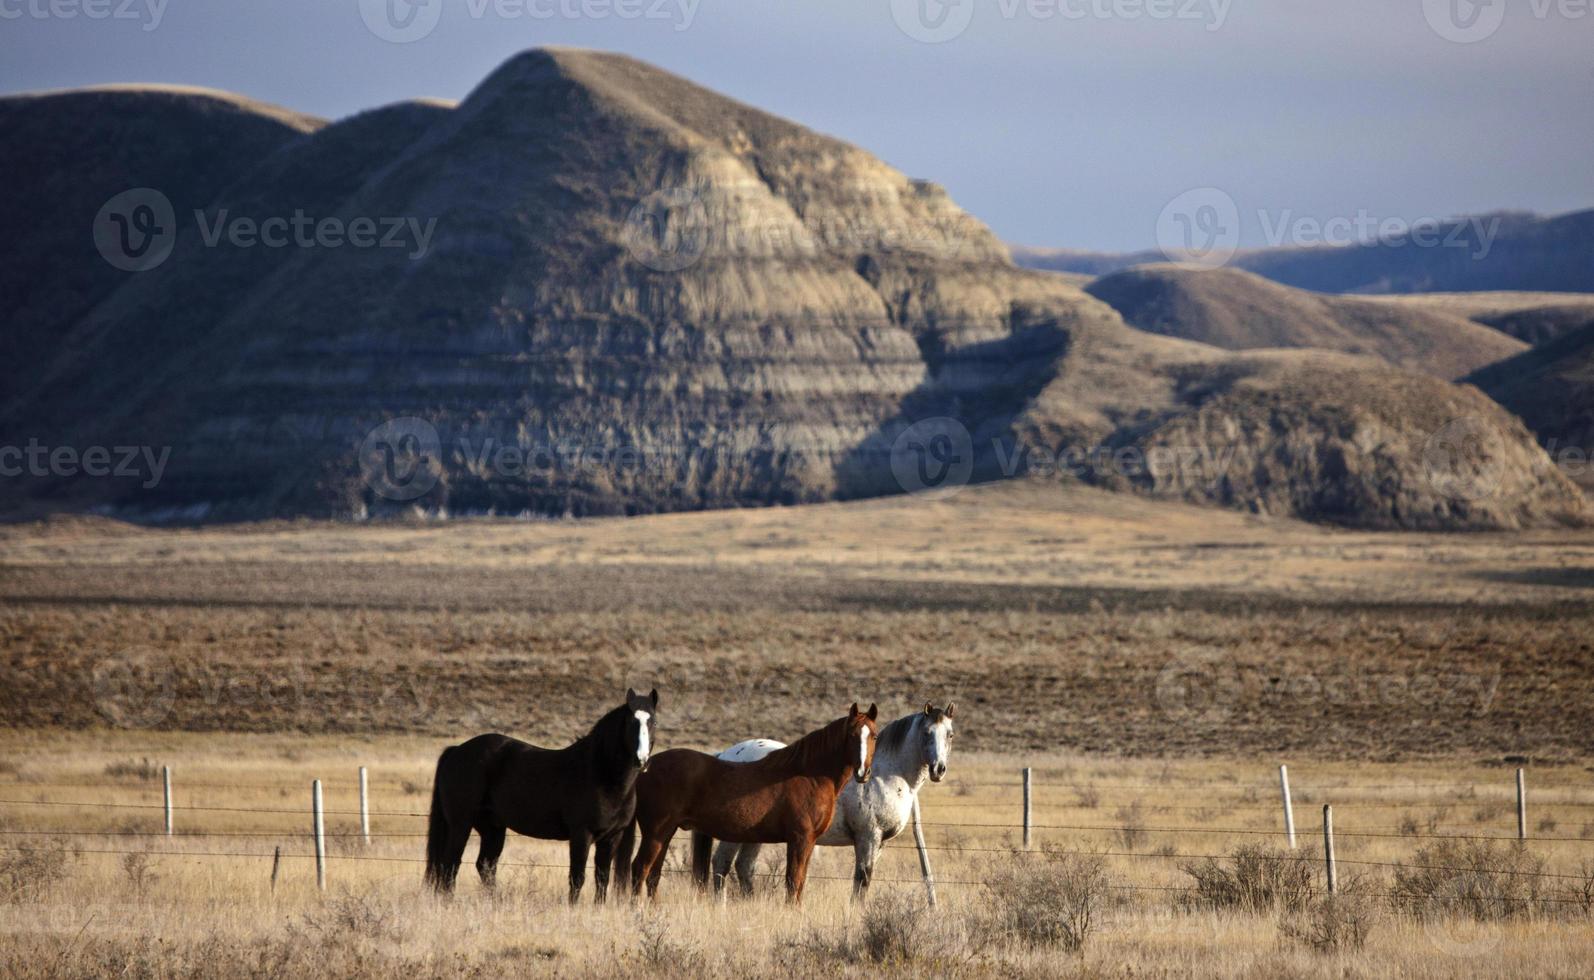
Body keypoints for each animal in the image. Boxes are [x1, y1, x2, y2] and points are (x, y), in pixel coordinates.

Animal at [420, 691, 656, 905]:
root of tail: (457, 750)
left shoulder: (612, 837)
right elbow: (577, 877)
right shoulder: (581, 834)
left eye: (652, 721)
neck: (602, 774)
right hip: (461, 824)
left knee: (485, 866)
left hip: (492, 828)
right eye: (632, 722)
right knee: (450, 865)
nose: (642, 760)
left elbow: (602, 878)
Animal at [624, 704, 879, 905]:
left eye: (874, 736)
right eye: (852, 735)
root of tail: (646, 767)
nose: (862, 773)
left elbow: (800, 883)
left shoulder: (809, 841)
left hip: (665, 833)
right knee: (640, 869)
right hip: (656, 832)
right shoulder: (800, 838)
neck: (810, 774)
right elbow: (794, 881)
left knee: (653, 874)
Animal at [701, 701, 950, 898]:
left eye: (950, 734)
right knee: (722, 864)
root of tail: (724, 756)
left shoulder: (880, 843)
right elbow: (862, 880)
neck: (887, 775)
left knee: (744, 867)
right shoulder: (868, 837)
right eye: (927, 732)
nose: (939, 769)